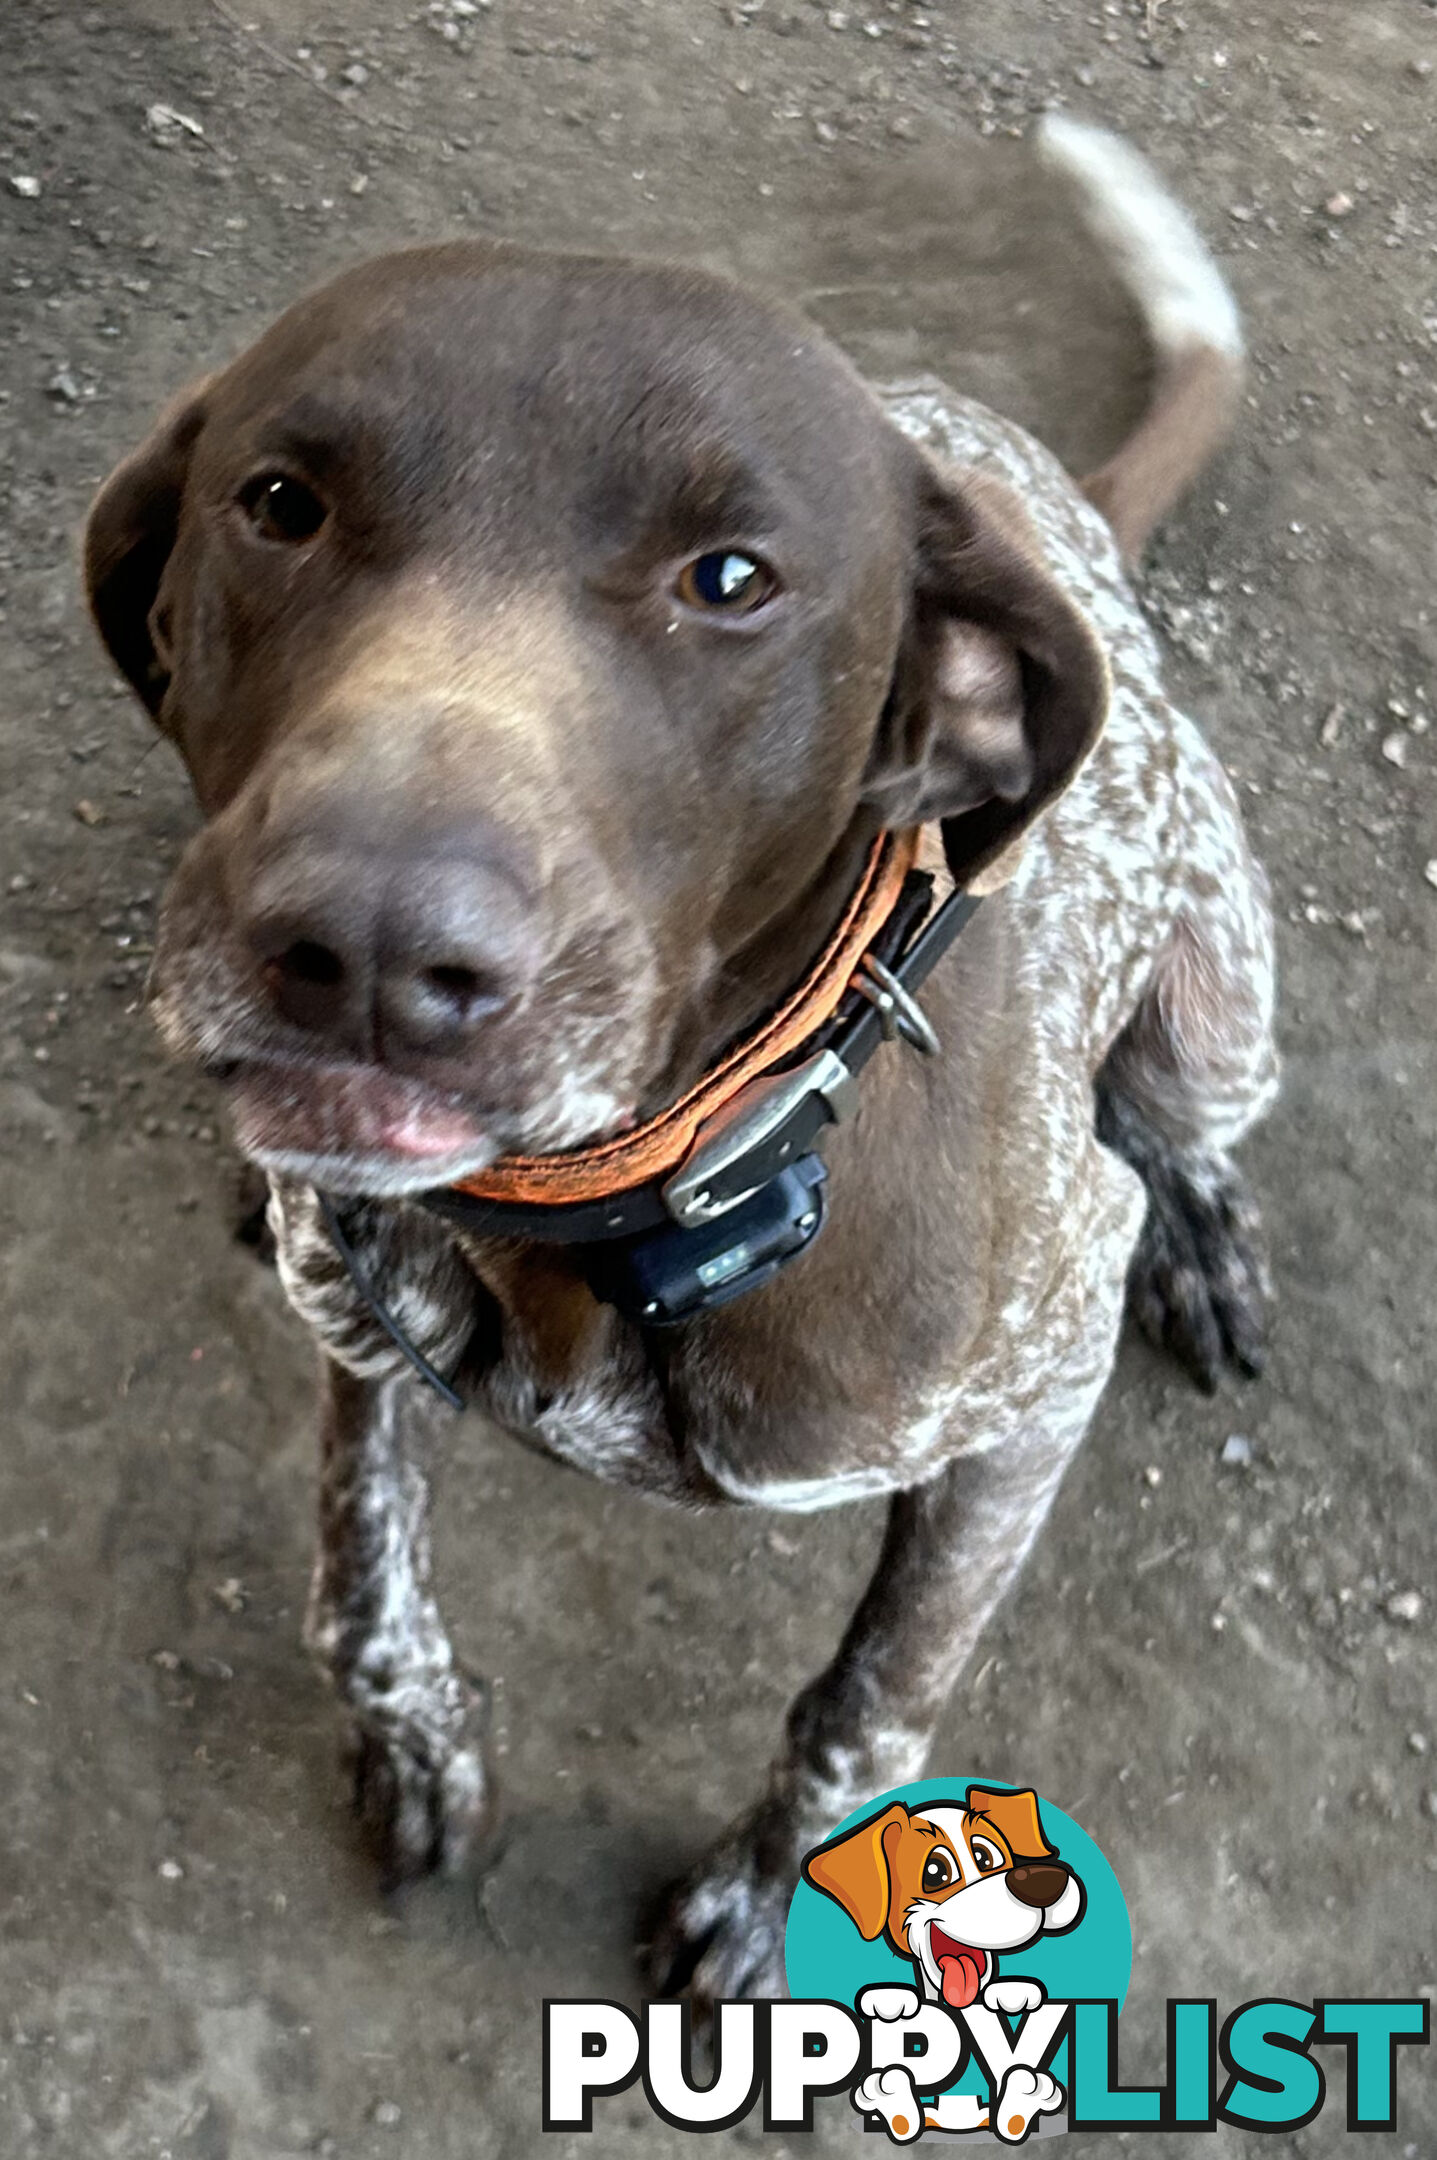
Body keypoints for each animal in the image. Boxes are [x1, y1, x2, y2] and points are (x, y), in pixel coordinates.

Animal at [84, 118, 1270, 2004]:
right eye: (278, 504)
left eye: (731, 581)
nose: (364, 948)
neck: (618, 1201)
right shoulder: (358, 1312)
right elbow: (356, 1564)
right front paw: (412, 1733)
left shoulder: (1030, 1400)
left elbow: (866, 1709)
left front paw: (776, 1894)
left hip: (1220, 998)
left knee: (1179, 1115)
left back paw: (1203, 1223)